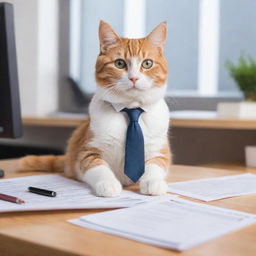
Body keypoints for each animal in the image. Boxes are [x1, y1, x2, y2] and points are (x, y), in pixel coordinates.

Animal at [19, 21, 171, 198]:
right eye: (119, 63)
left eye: (147, 63)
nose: (134, 78)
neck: (131, 109)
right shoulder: (87, 151)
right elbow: (99, 167)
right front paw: (108, 184)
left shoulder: (160, 151)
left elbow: (155, 166)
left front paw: (153, 182)